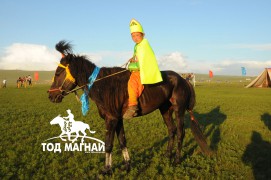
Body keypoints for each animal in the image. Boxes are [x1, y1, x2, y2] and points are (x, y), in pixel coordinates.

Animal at [47, 40, 211, 174]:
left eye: (58, 72)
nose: (50, 96)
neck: (103, 85)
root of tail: (183, 79)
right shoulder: (118, 119)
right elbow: (122, 141)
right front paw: (127, 165)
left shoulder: (111, 119)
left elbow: (108, 144)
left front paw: (106, 169)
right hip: (165, 110)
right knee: (172, 130)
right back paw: (167, 155)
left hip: (179, 110)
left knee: (181, 133)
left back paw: (176, 159)